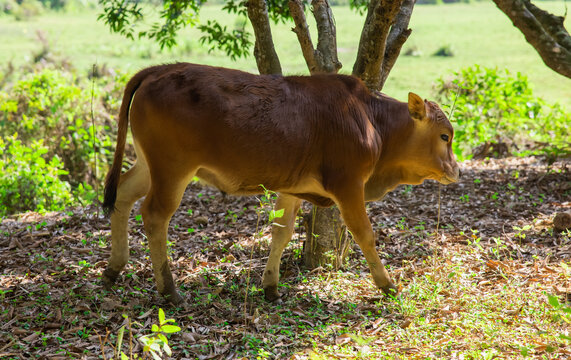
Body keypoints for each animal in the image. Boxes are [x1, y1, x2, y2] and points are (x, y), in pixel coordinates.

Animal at [103, 62, 460, 304]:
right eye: (445, 136)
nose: (456, 170)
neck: (371, 119)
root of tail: (159, 70)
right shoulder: (348, 185)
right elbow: (365, 234)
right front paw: (386, 284)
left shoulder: (292, 188)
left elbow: (281, 232)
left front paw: (271, 285)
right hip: (173, 170)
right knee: (154, 215)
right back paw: (169, 289)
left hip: (148, 165)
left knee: (122, 195)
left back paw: (114, 267)